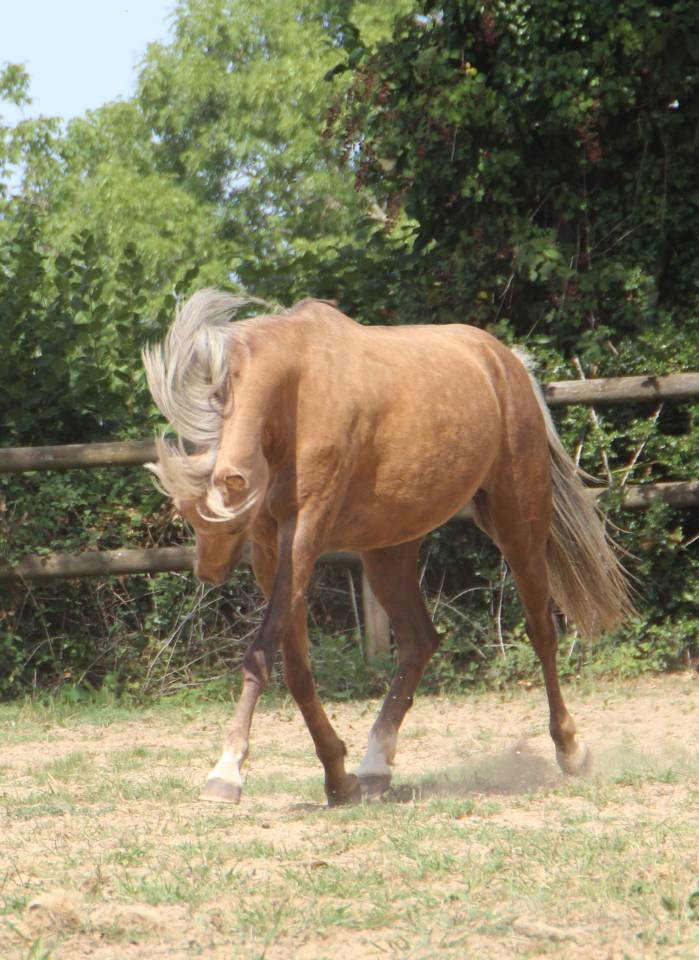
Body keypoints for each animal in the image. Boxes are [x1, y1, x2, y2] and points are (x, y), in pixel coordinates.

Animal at [142, 289, 631, 806]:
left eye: (229, 521)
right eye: (187, 514)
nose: (207, 572)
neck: (295, 394)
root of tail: (505, 362)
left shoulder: (304, 532)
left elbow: (261, 653)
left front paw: (228, 770)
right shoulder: (272, 550)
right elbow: (295, 666)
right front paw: (338, 778)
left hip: (519, 524)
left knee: (542, 633)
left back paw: (571, 750)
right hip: (389, 549)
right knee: (419, 641)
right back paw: (375, 765)